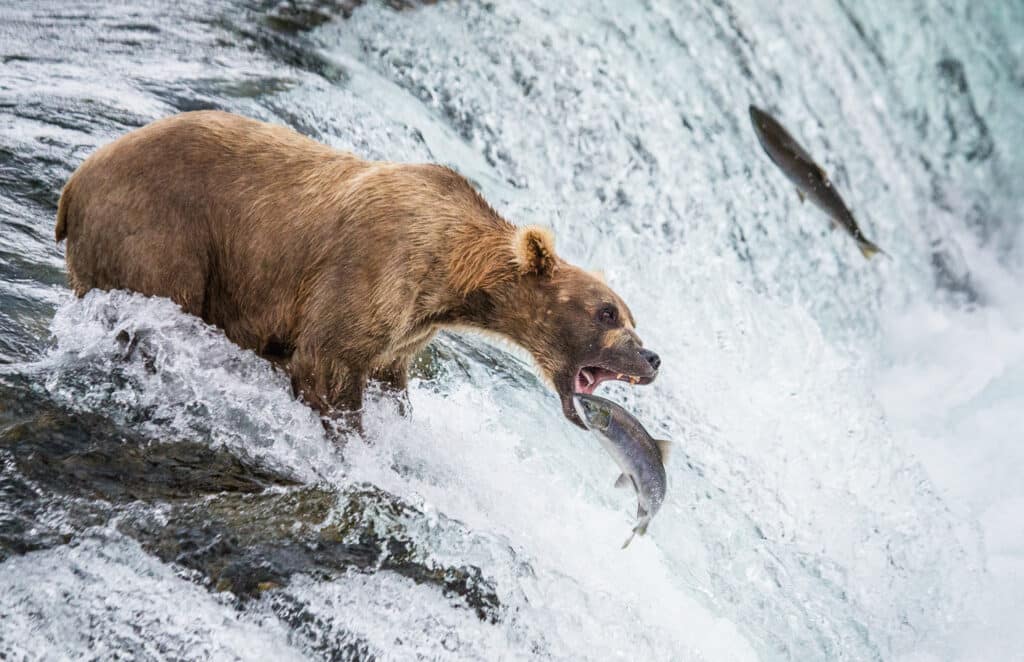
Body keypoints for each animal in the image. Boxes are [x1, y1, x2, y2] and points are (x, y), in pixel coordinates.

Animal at [55, 111, 660, 428]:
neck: (450, 275)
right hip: (160, 234)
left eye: (631, 315)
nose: (652, 357)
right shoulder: (372, 270)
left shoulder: (406, 331)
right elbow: (328, 363)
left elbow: (390, 379)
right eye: (607, 313)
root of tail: (74, 182)